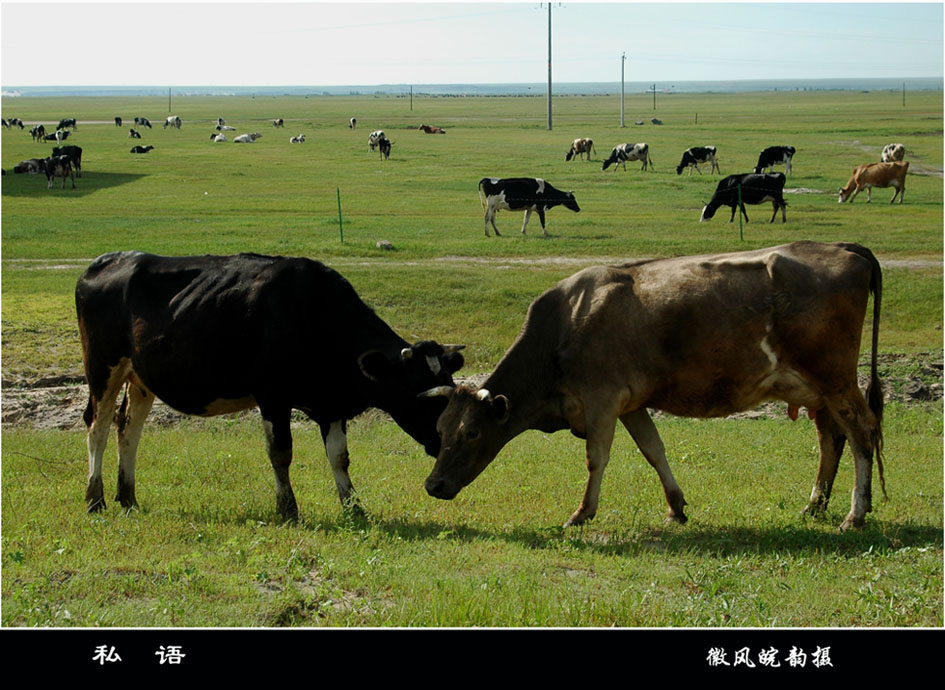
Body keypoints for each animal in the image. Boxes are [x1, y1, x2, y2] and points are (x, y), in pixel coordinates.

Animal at [75, 251, 466, 516]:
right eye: (420, 394)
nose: (443, 442)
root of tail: (107, 261)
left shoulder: (331, 403)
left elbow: (339, 457)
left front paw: (354, 507)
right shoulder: (273, 396)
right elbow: (280, 453)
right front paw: (288, 508)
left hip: (141, 377)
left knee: (128, 429)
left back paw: (128, 498)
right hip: (102, 367)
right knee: (98, 426)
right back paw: (95, 499)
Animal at [424, 242, 880, 532]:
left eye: (471, 432)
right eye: (440, 429)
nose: (433, 485)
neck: (565, 324)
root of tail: (843, 248)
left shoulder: (601, 401)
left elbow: (596, 459)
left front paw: (582, 513)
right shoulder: (630, 404)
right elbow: (653, 450)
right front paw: (676, 507)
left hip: (836, 380)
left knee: (862, 434)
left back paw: (855, 514)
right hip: (819, 390)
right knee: (831, 439)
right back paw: (815, 505)